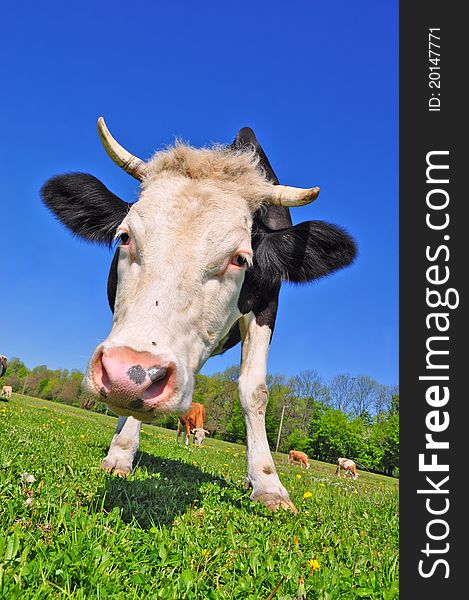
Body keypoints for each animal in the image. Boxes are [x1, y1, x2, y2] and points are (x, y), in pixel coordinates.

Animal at [41, 116, 354, 510]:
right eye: (125, 237)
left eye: (240, 258)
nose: (132, 375)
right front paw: (121, 452)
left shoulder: (267, 305)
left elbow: (254, 391)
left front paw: (268, 484)